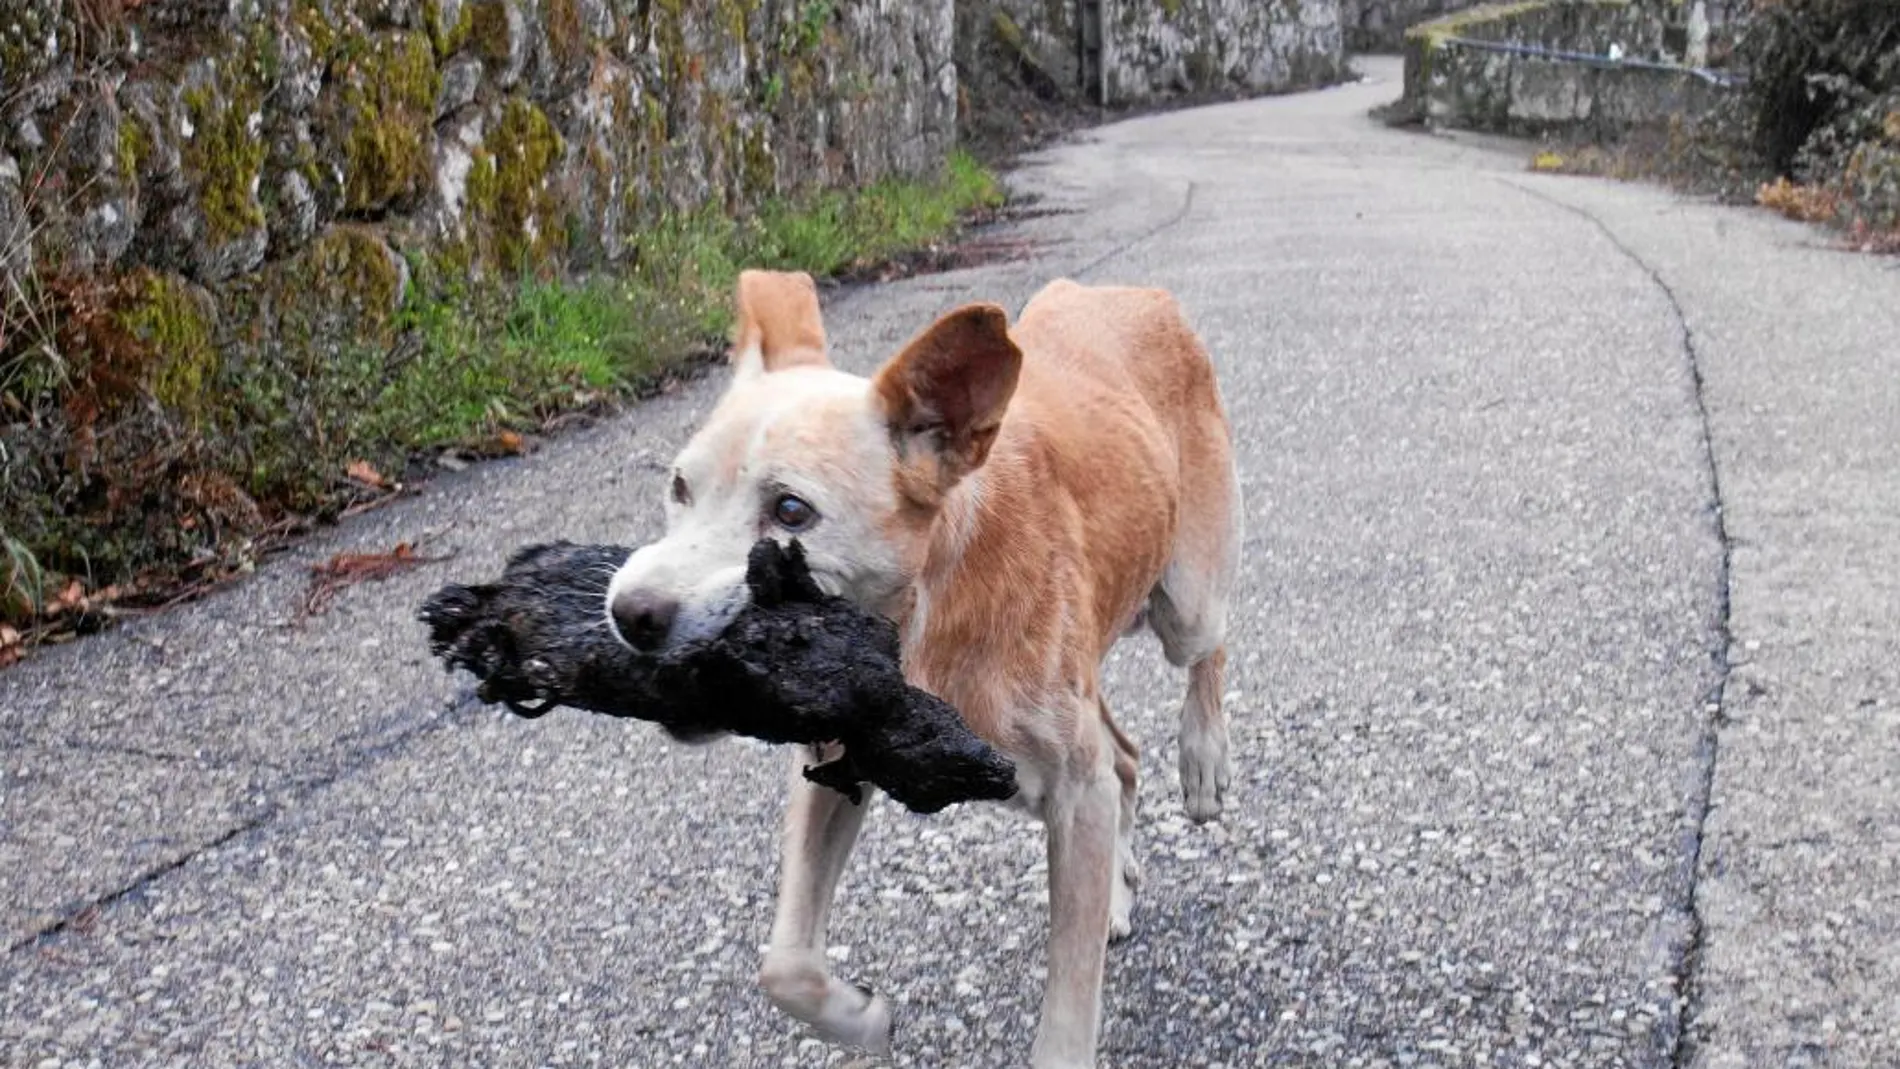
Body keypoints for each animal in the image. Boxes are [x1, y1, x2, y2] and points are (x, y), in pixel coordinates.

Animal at [600, 269, 1238, 1069]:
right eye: (679, 487)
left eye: (791, 511)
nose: (631, 613)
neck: (922, 619)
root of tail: (1129, 292)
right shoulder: (832, 766)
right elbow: (786, 965)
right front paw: (860, 1018)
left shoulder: (1073, 787)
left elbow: (1066, 1012)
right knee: (1121, 760)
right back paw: (1117, 898)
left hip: (1187, 601)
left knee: (1208, 650)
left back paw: (1204, 758)